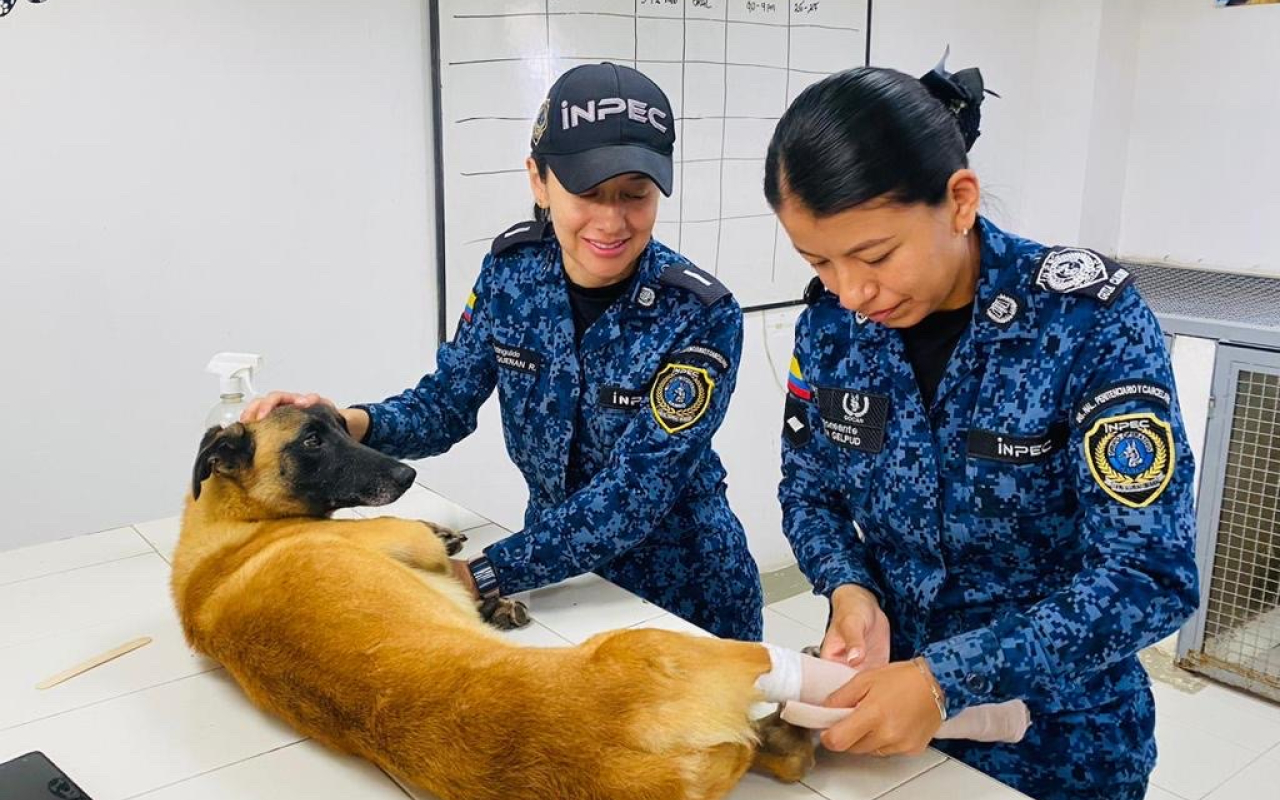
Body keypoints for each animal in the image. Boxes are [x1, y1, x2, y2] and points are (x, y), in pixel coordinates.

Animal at [170, 404, 814, 798]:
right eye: (311, 440)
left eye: (342, 426)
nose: (407, 476)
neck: (234, 526)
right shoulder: (400, 535)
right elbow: (430, 544)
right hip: (685, 646)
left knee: (785, 755)